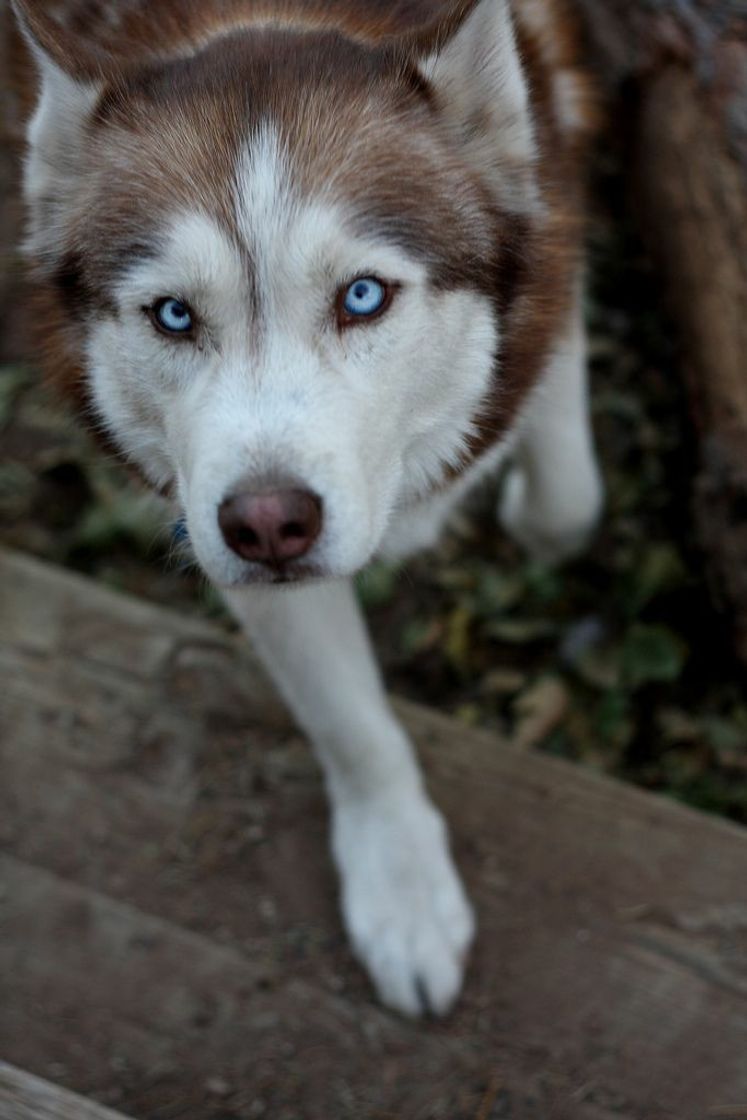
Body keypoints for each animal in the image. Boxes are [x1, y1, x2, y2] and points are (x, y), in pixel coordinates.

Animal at [13, 0, 600, 1016]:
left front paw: (528, 516)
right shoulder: (204, 508)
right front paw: (400, 886)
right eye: (173, 315)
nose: (268, 524)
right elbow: (347, 719)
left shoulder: (552, 231)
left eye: (362, 296)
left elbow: (565, 489)